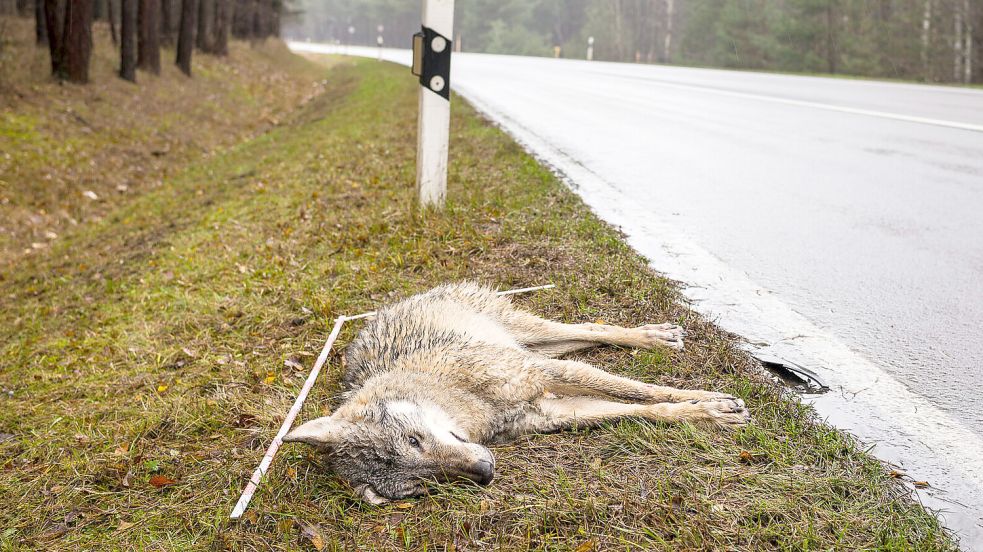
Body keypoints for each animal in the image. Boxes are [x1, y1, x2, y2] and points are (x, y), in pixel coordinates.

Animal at [283, 282, 749, 504]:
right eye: (420, 487)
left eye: (414, 441)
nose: (484, 472)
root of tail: (394, 301)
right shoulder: (552, 410)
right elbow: (640, 410)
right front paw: (705, 413)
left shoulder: (543, 374)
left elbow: (647, 390)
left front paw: (712, 404)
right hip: (539, 346)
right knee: (588, 334)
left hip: (534, 340)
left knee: (592, 328)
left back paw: (655, 338)